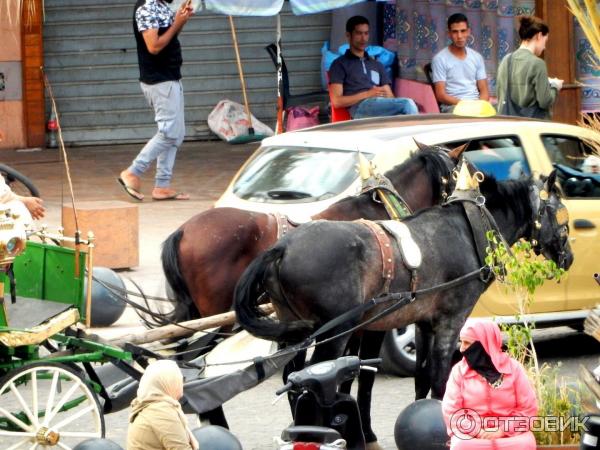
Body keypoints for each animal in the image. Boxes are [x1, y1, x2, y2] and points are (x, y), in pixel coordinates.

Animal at [234, 171, 572, 446]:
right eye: (564, 220)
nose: (568, 258)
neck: (469, 231)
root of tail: (283, 246)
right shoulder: (451, 321)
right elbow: (439, 377)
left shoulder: (423, 322)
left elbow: (421, 376)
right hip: (336, 332)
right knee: (313, 378)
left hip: (296, 331)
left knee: (292, 379)